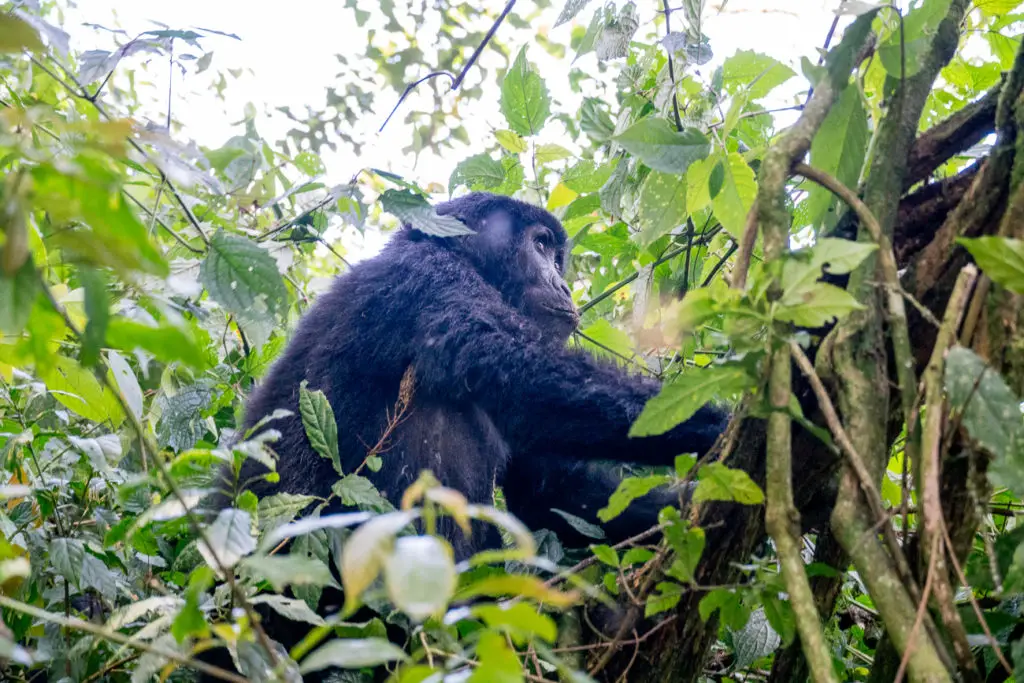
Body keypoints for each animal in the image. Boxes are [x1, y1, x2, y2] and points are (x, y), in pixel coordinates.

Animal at [231, 191, 729, 557]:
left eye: (557, 256)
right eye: (540, 245)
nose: (564, 285)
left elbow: (551, 493)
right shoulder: (429, 278)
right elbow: (518, 371)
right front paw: (722, 424)